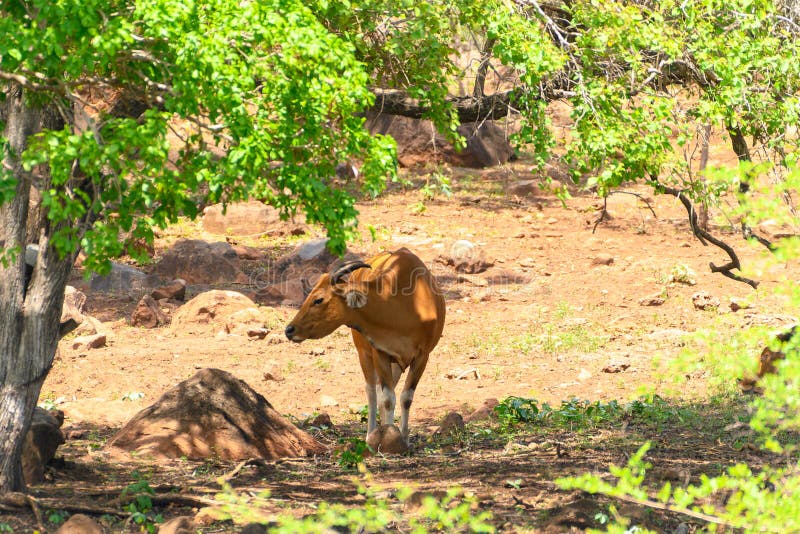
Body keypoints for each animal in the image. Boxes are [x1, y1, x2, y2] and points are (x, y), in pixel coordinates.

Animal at [284, 249, 444, 442]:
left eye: (318, 299)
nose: (289, 329)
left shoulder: (422, 356)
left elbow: (405, 398)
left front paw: (403, 438)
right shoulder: (379, 352)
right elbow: (387, 399)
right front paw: (389, 438)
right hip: (364, 353)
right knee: (372, 392)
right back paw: (371, 434)